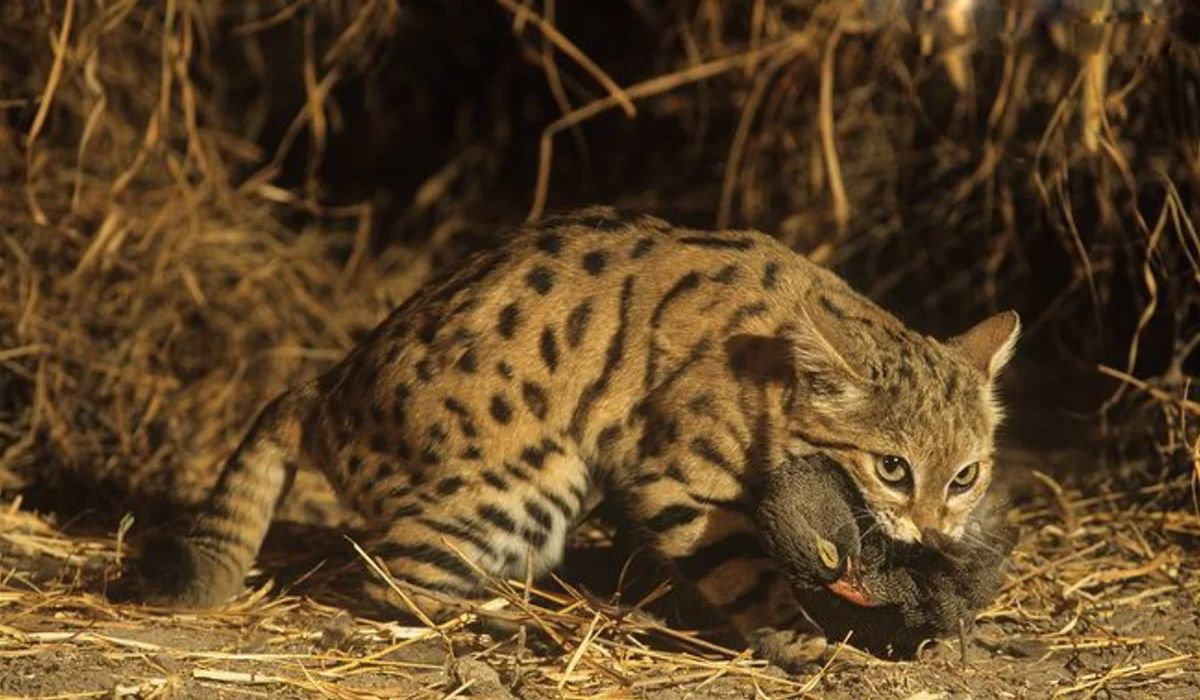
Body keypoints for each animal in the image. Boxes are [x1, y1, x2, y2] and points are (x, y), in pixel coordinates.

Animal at [140, 204, 1022, 667]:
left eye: (966, 475)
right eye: (893, 467)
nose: (935, 533)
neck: (772, 371)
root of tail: (321, 389)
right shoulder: (677, 481)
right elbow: (745, 574)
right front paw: (798, 637)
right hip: (522, 484)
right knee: (395, 583)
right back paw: (521, 624)